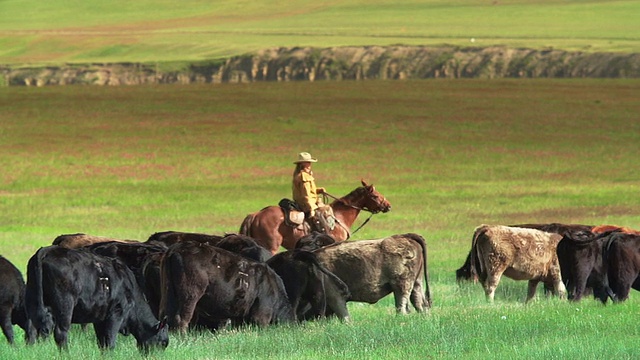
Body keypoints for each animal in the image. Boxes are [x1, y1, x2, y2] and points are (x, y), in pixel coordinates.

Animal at [25, 246, 168, 350]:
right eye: (163, 342)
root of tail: (48, 250)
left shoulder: (99, 319)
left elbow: (102, 342)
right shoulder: (116, 314)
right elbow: (110, 341)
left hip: (32, 300)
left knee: (31, 329)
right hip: (65, 306)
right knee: (61, 333)